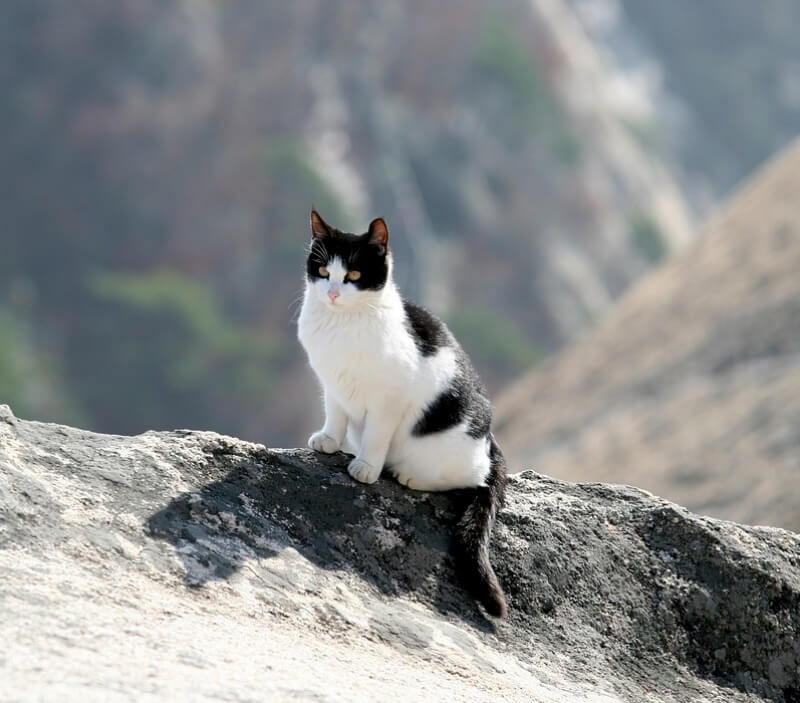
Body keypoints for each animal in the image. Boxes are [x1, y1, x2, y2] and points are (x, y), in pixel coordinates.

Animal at [296, 208, 510, 616]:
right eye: (323, 270)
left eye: (354, 275)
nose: (332, 293)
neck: (342, 326)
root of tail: (491, 443)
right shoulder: (331, 384)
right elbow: (336, 414)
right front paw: (329, 440)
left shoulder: (389, 398)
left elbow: (377, 435)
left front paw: (366, 467)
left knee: (470, 479)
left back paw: (408, 476)